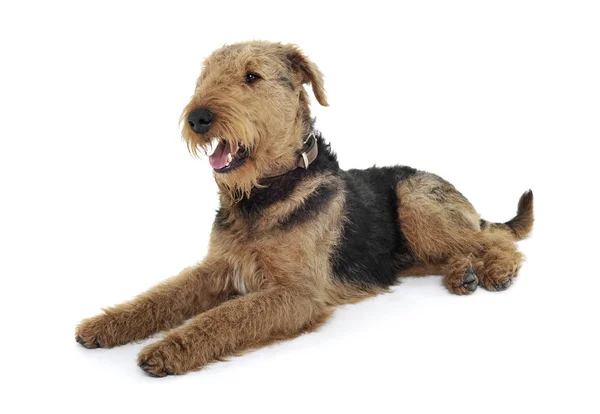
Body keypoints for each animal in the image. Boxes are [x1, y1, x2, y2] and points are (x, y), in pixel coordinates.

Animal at [76, 41, 536, 376]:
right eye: (204, 78)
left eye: (252, 76)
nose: (198, 118)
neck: (262, 197)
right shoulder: (221, 266)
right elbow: (160, 297)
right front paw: (104, 326)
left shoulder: (296, 293)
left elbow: (226, 317)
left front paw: (169, 348)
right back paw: (463, 274)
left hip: (417, 204)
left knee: (495, 239)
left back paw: (496, 270)